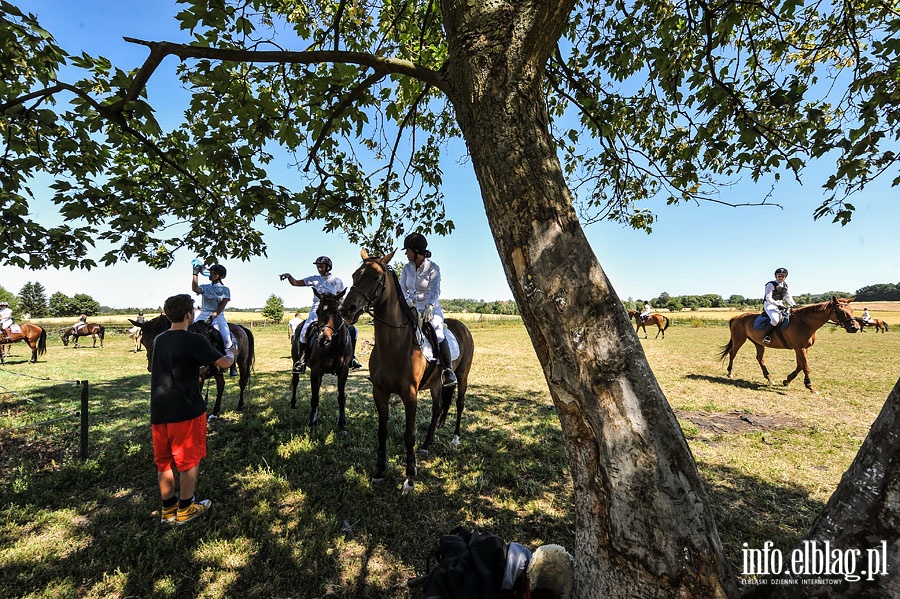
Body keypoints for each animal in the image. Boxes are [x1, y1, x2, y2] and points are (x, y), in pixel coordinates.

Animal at [292, 288, 356, 434]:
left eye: (337, 312)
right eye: (317, 312)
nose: (323, 339)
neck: (334, 347)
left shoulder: (343, 372)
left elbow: (341, 398)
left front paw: (342, 424)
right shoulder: (316, 371)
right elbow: (315, 397)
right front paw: (312, 423)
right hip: (295, 361)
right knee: (295, 381)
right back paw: (293, 403)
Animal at [340, 250, 478, 496]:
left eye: (376, 278)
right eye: (355, 275)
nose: (346, 309)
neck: (393, 344)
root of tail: (461, 325)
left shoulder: (409, 394)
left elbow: (409, 434)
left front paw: (410, 478)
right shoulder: (380, 392)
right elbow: (382, 431)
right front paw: (379, 472)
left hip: (462, 376)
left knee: (460, 404)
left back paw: (455, 439)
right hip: (435, 385)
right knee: (437, 409)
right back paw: (426, 445)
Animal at [716, 296, 856, 394]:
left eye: (852, 310)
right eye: (841, 311)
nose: (855, 327)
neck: (805, 322)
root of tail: (736, 317)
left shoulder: (802, 348)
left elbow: (800, 366)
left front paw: (787, 380)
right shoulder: (800, 348)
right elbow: (806, 367)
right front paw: (810, 386)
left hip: (758, 343)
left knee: (760, 359)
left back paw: (769, 378)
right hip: (739, 339)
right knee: (733, 354)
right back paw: (730, 373)